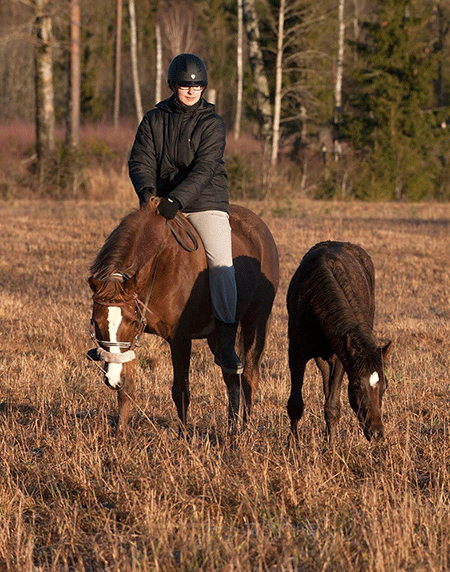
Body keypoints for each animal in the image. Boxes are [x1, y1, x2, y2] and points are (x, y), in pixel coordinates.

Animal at [87, 198, 278, 434]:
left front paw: (184, 436)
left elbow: (180, 390)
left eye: (130, 321)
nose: (112, 379)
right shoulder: (132, 339)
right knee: (231, 374)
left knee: (250, 375)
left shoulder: (179, 339)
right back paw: (232, 428)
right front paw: (120, 434)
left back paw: (245, 428)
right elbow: (127, 388)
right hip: (217, 337)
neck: (158, 264)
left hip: (256, 319)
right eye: (96, 323)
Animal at [288, 241, 390, 442]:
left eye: (385, 385)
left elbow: (332, 407)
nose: (377, 433)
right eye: (357, 385)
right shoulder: (296, 353)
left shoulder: (340, 356)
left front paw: (332, 445)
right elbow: (295, 404)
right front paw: (294, 445)